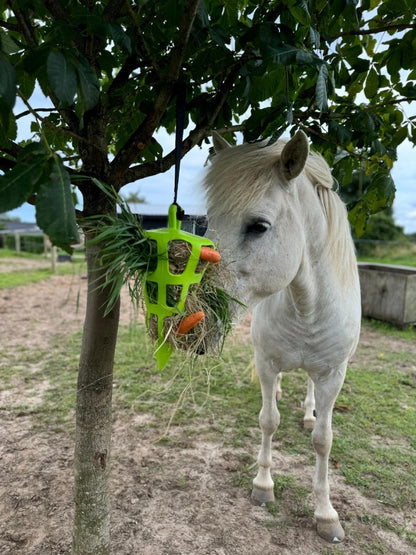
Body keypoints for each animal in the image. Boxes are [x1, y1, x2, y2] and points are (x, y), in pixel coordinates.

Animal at [205, 131, 360, 544]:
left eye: (258, 226)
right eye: (208, 221)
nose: (193, 314)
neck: (306, 306)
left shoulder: (333, 375)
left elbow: (323, 440)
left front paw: (326, 514)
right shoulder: (266, 363)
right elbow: (268, 421)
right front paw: (263, 486)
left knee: (308, 389)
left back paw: (307, 412)